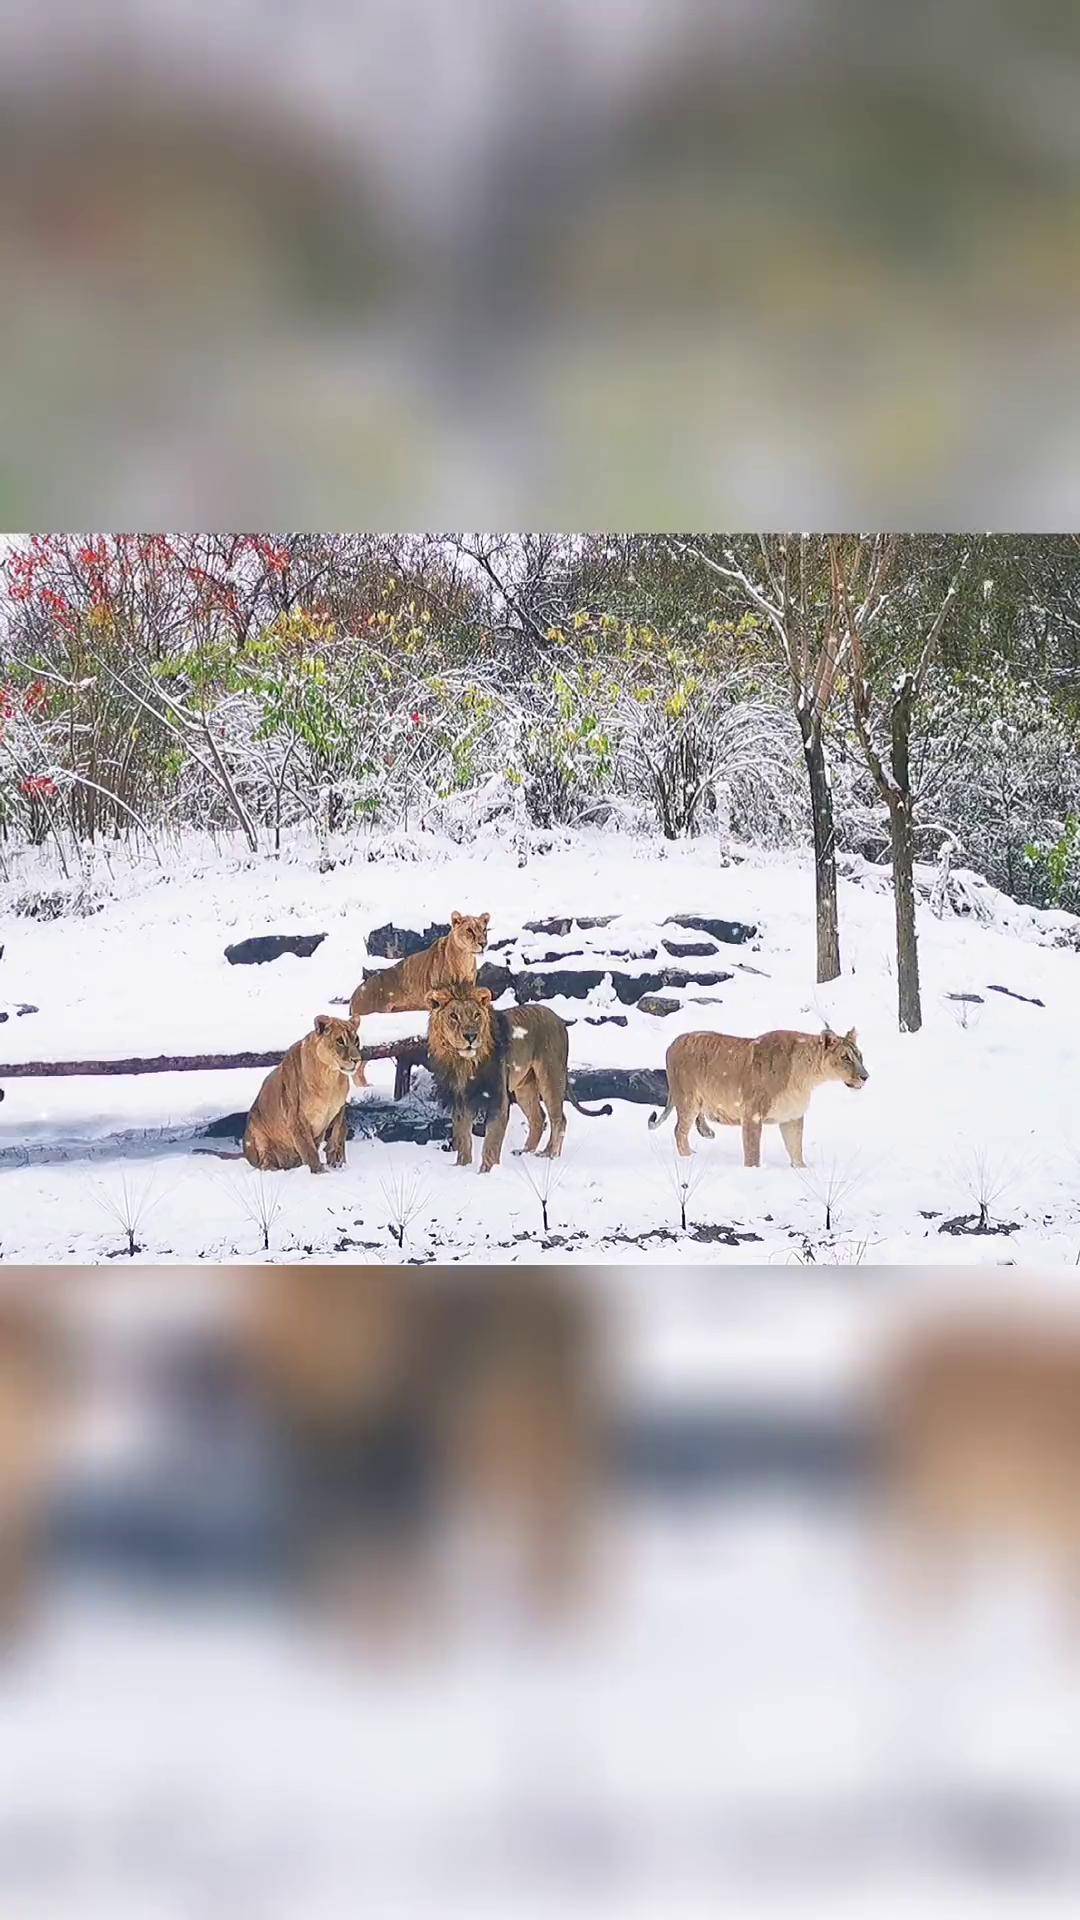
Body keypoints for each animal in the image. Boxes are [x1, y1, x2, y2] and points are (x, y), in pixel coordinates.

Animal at [349, 910, 488, 1090]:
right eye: (470, 930)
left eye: (484, 930)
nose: (483, 943)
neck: (465, 959)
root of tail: (354, 996)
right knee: (356, 1069)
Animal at [424, 990, 611, 1167]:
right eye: (453, 1016)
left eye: (476, 1015)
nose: (471, 1036)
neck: (464, 1063)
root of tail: (558, 1019)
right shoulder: (460, 1100)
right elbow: (463, 1139)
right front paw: (461, 1167)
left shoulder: (498, 1098)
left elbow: (491, 1143)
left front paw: (486, 1172)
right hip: (524, 1087)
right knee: (538, 1117)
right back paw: (525, 1152)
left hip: (551, 1076)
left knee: (559, 1119)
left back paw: (550, 1155)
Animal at [645, 1029, 864, 1159]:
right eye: (845, 1057)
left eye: (860, 1056)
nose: (866, 1076)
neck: (807, 1077)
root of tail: (673, 1043)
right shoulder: (752, 1113)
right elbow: (753, 1152)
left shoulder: (792, 1116)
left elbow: (795, 1148)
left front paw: (802, 1171)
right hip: (687, 1098)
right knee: (679, 1131)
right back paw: (689, 1157)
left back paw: (705, 1134)